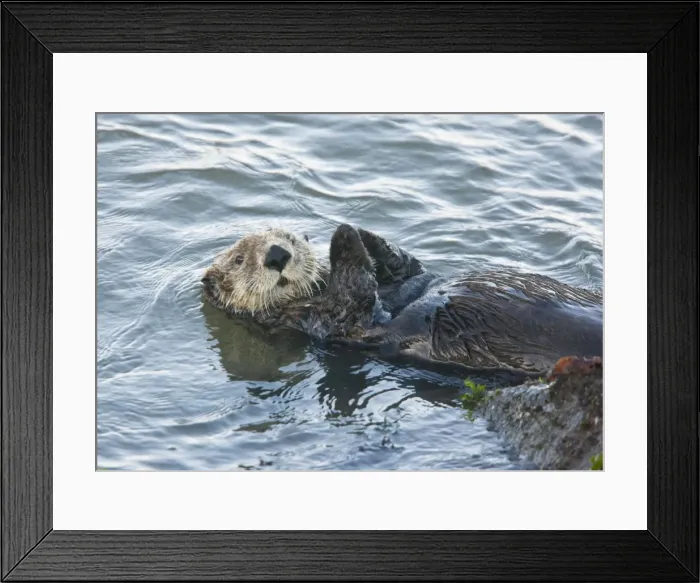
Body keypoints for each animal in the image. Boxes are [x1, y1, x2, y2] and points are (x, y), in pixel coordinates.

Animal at [202, 224, 602, 377]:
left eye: (289, 238)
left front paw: (356, 231)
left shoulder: (405, 278)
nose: (277, 254)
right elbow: (354, 296)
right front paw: (343, 236)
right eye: (239, 259)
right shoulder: (325, 322)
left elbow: (406, 265)